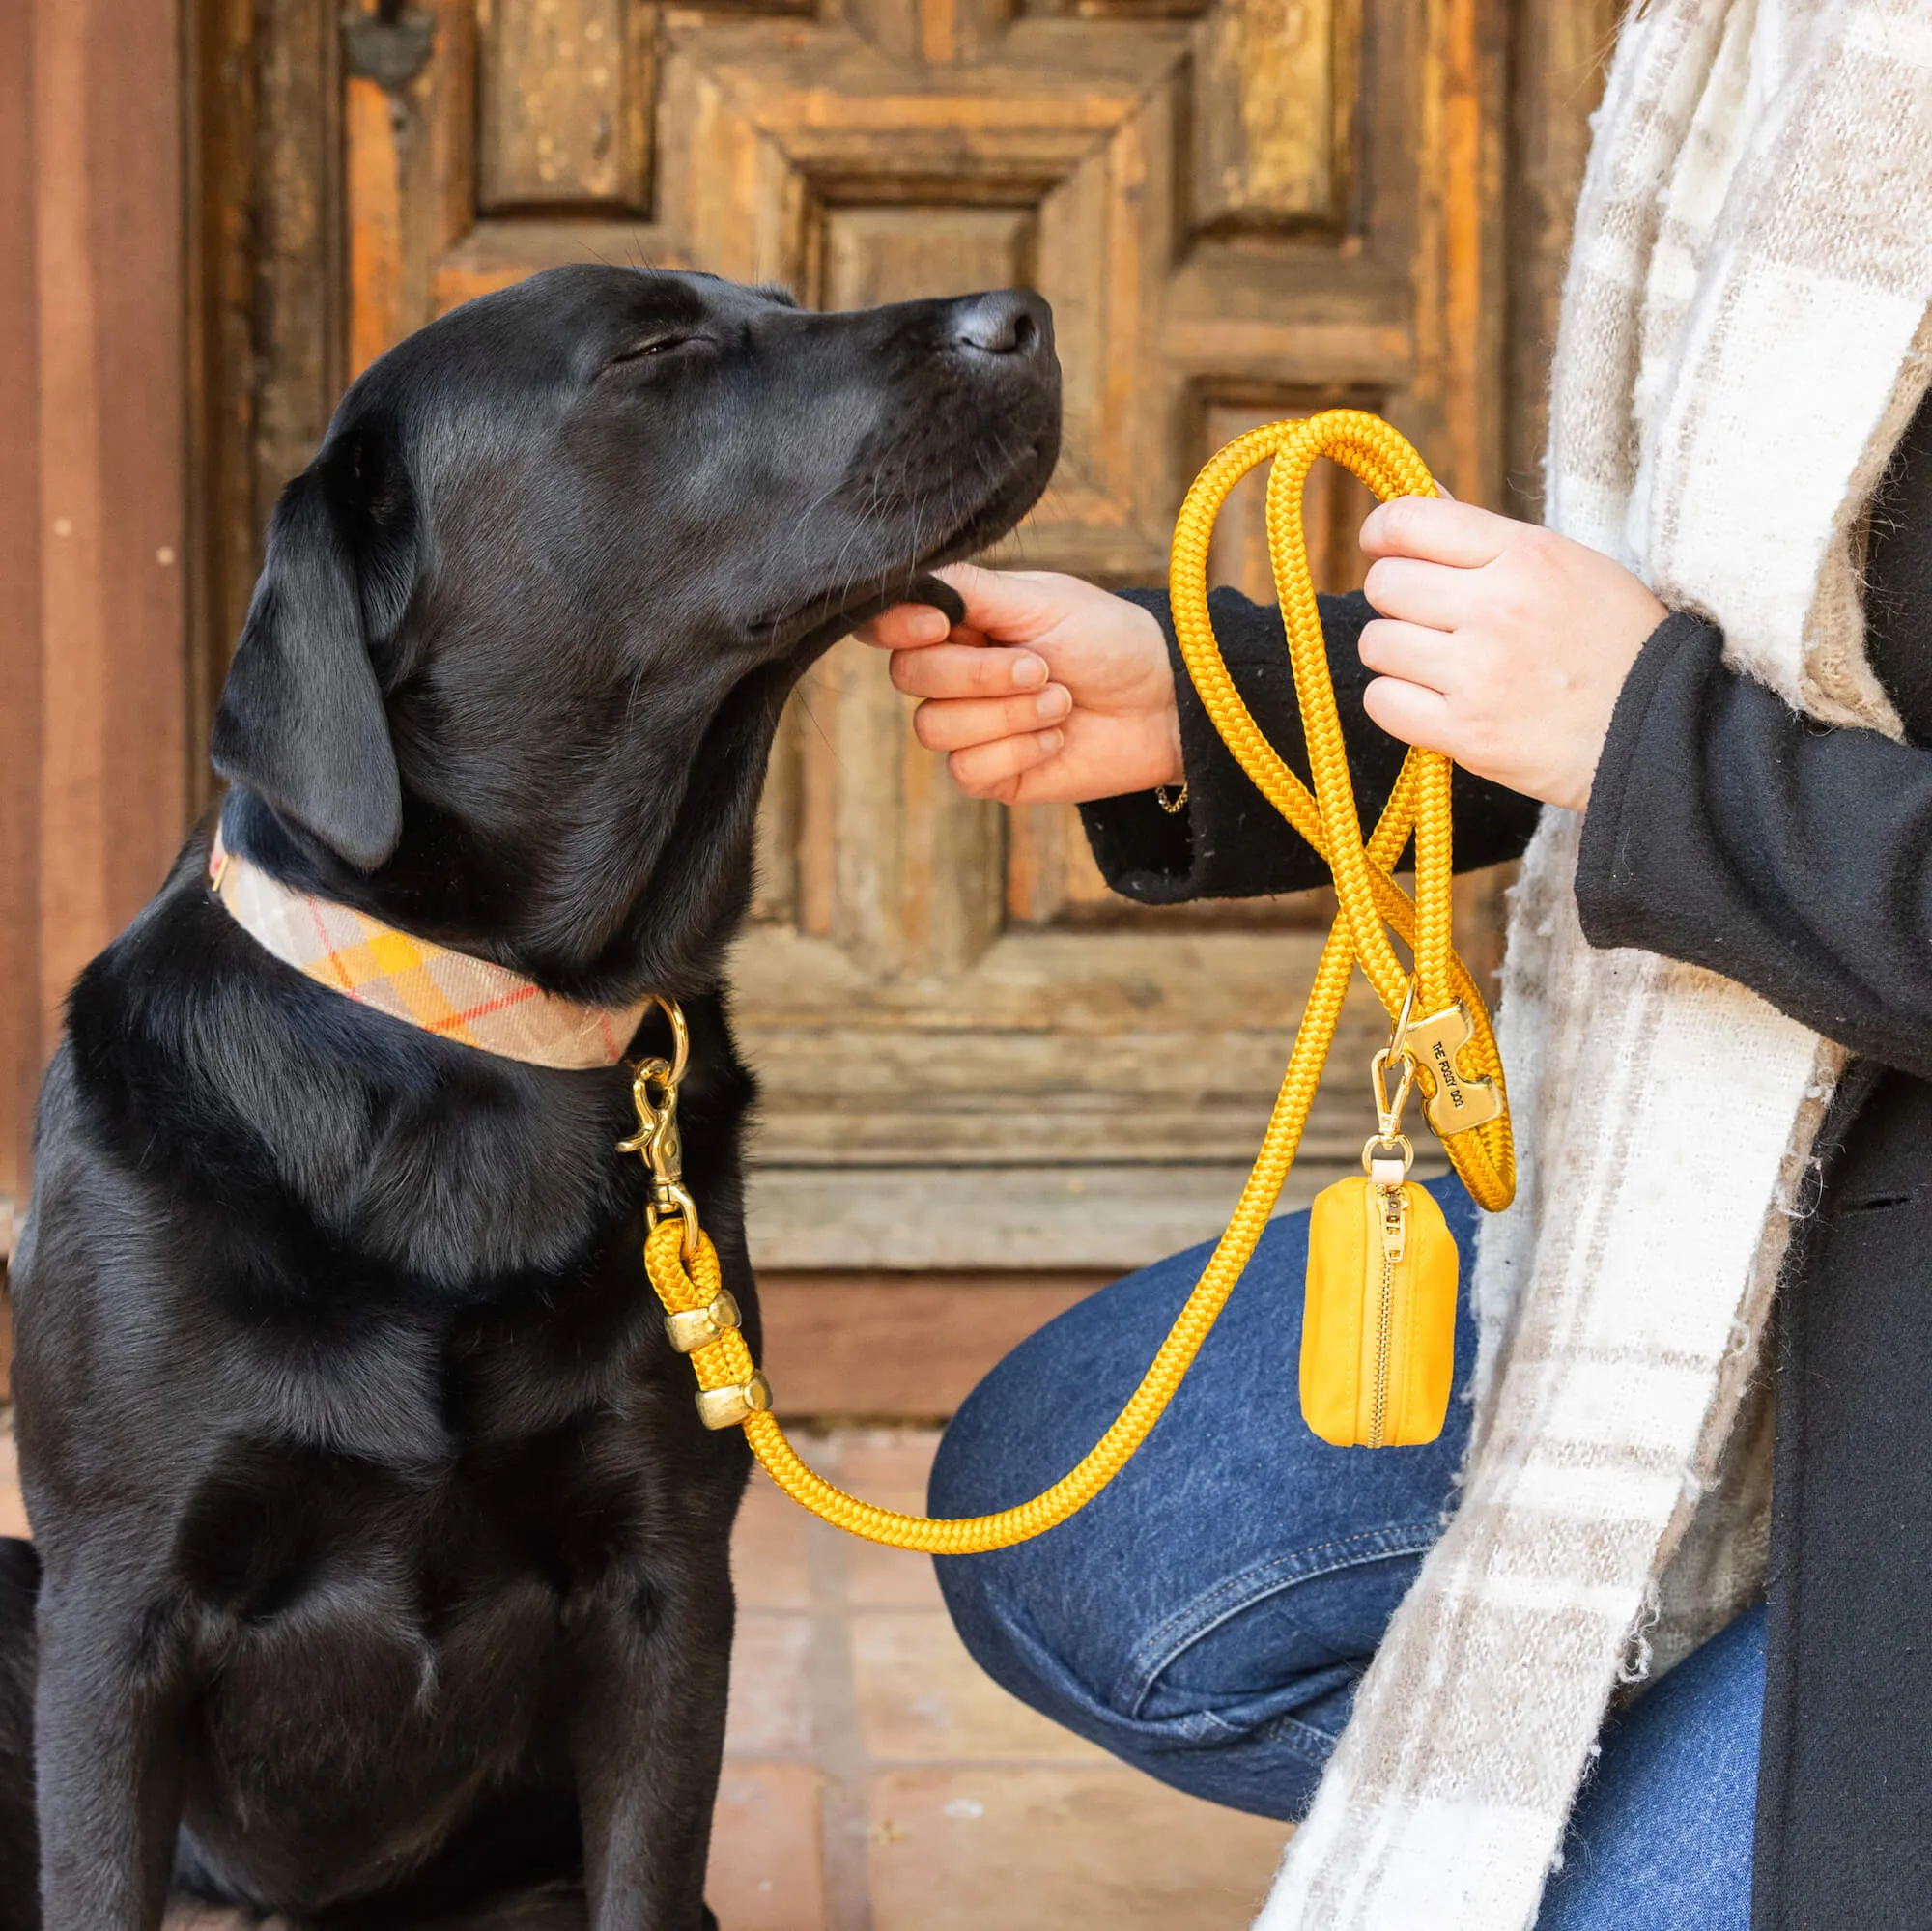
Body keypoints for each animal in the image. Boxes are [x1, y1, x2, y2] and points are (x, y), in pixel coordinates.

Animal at [0, 264, 1059, 1923]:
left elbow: (645, 1862)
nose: (1022, 315)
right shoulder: (113, 1609)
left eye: (779, 298)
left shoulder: (668, 1587)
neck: (484, 1033)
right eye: (655, 344)